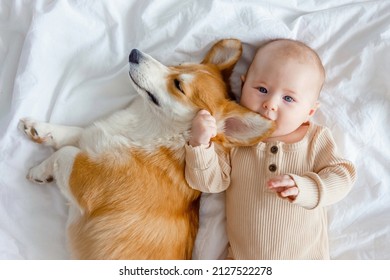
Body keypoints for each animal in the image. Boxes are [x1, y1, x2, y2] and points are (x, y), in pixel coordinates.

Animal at [19, 38, 274, 260]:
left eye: (178, 85)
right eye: (177, 65)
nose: (134, 53)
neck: (151, 127)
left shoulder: (90, 182)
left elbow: (66, 153)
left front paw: (38, 171)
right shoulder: (93, 137)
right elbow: (74, 133)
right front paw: (38, 134)